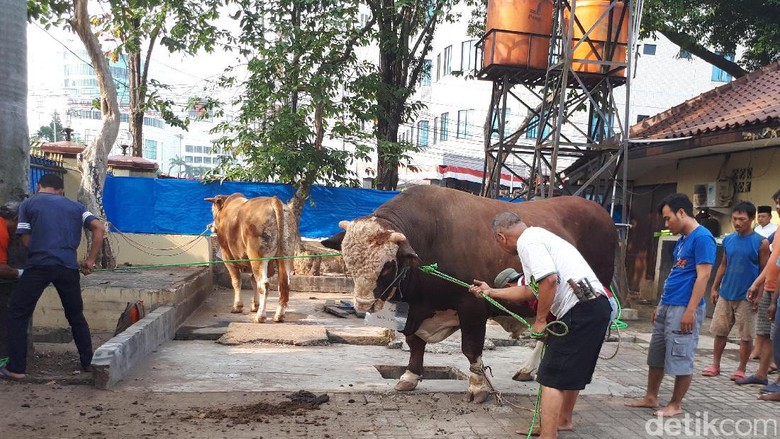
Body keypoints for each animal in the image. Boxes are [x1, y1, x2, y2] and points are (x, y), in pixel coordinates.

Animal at [206, 193, 294, 324]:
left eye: (213, 210)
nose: (210, 226)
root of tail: (273, 200)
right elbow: (253, 281)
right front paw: (255, 305)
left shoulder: (227, 257)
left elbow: (236, 281)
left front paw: (237, 306)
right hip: (287, 255)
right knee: (284, 284)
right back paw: (279, 315)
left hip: (257, 257)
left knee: (264, 285)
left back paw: (260, 316)